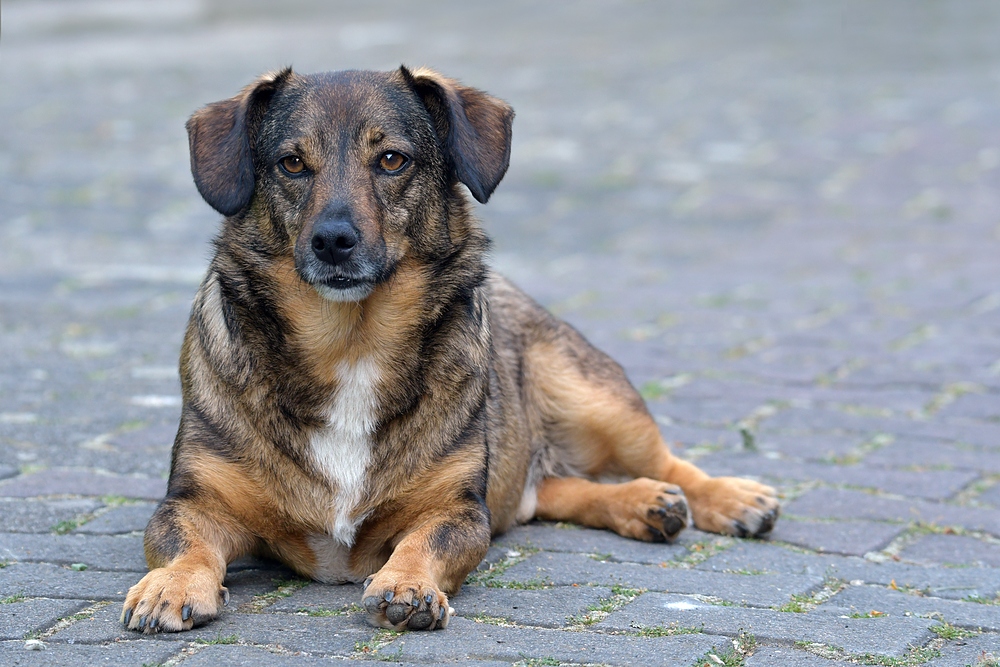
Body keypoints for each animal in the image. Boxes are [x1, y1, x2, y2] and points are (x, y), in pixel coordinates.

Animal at [123, 68, 780, 636]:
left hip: (594, 397)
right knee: (550, 490)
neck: (350, 344)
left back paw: (728, 497)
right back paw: (642, 504)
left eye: (393, 160)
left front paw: (408, 584)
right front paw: (172, 585)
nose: (333, 240)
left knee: (663, 460)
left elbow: (425, 541)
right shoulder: (191, 501)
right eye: (292, 163)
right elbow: (184, 542)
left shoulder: (460, 511)